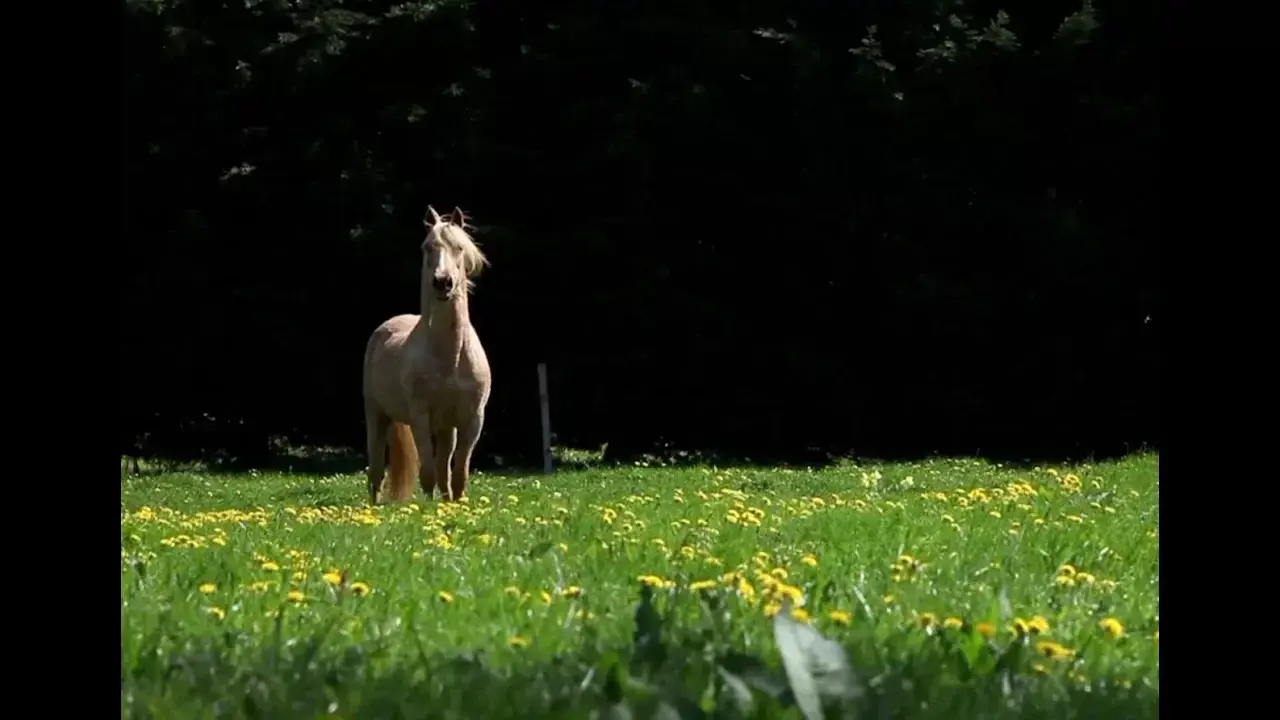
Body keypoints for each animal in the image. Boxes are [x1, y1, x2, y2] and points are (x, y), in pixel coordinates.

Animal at [361, 206, 492, 504]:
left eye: (459, 247)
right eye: (427, 247)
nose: (443, 283)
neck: (452, 356)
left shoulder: (472, 421)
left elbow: (458, 473)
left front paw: (456, 505)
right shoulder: (421, 417)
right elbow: (429, 472)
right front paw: (428, 509)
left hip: (445, 429)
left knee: (444, 466)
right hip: (376, 415)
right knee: (376, 469)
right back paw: (373, 506)